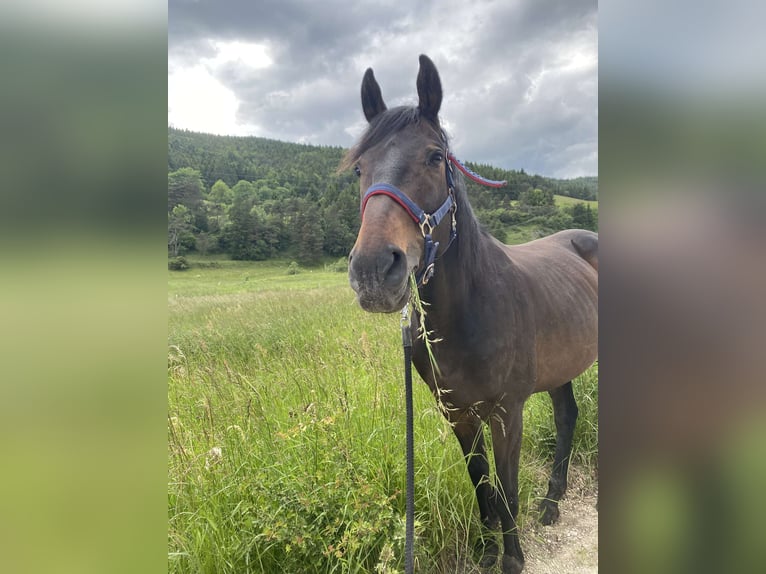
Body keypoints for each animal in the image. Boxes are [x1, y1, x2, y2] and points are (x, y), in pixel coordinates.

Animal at [344, 55, 600, 574]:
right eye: (360, 166)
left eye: (434, 157)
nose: (374, 271)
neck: (469, 314)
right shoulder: (458, 414)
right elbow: (482, 485)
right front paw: (486, 551)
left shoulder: (507, 412)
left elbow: (507, 489)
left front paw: (512, 558)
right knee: (567, 416)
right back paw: (552, 503)